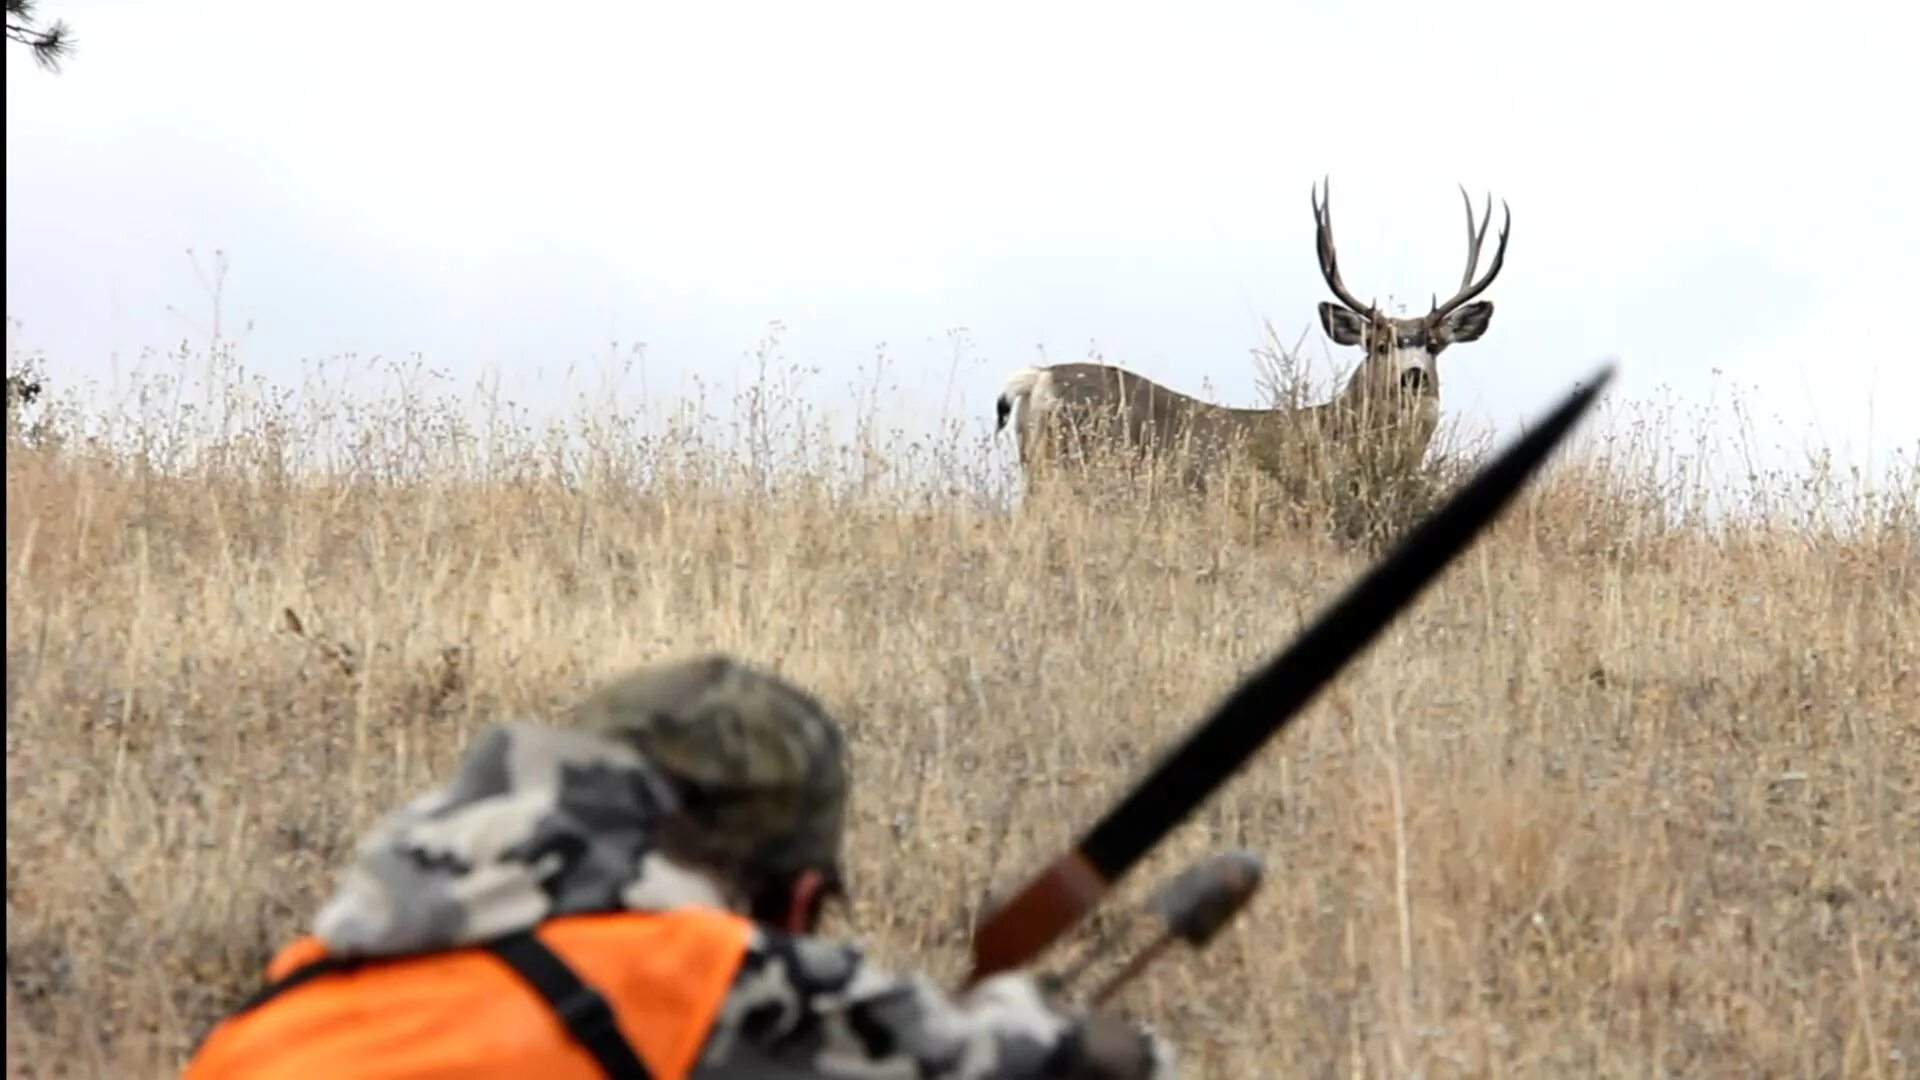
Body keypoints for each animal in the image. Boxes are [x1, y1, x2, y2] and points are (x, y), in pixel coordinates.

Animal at [998, 177, 1505, 495]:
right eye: (1379, 345)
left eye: (1435, 345)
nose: (1413, 376)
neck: (1337, 425)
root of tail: (1041, 376)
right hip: (1070, 463)